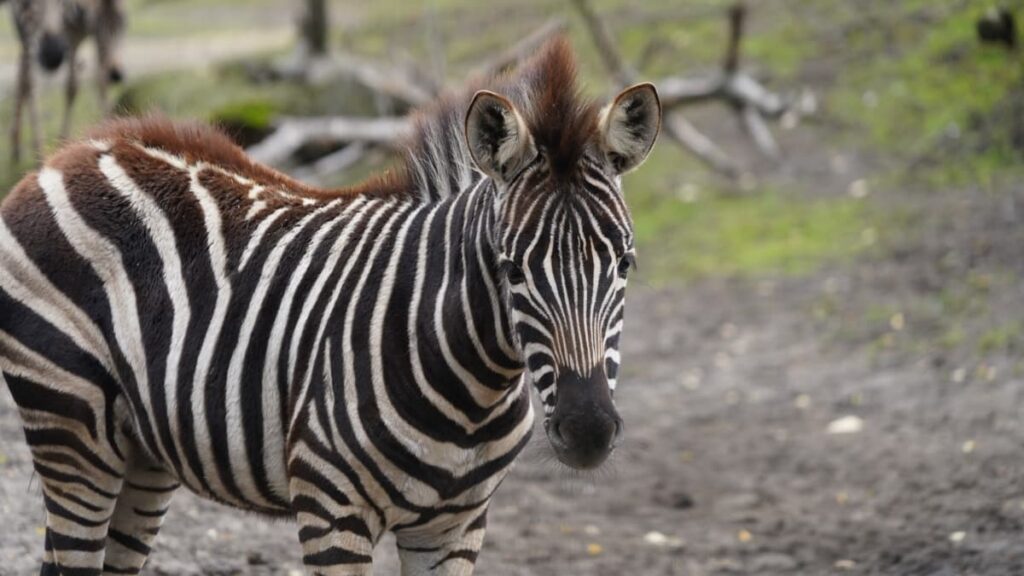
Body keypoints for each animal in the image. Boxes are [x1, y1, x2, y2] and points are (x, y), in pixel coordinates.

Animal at [2, 38, 663, 569]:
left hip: (142, 451)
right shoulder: (332, 511)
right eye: (512, 270)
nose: (588, 431)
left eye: (624, 264)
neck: (475, 387)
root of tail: (68, 156)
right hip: (71, 428)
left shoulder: (456, 526)